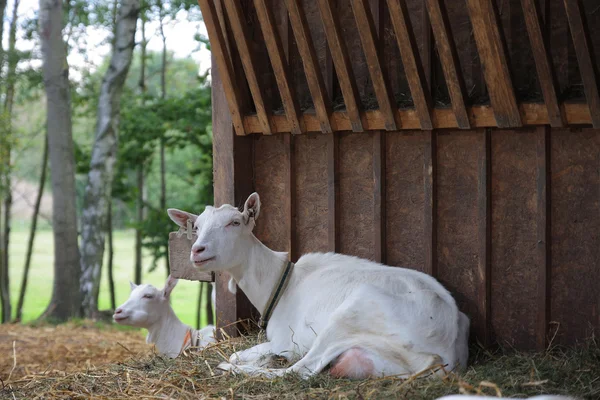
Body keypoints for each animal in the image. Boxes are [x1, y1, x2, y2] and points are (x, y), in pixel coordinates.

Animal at [166, 192, 472, 380]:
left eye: (235, 222)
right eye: (197, 227)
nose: (197, 250)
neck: (282, 283)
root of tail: (447, 348)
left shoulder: (290, 341)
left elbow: (241, 352)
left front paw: (241, 362)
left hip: (351, 314)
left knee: (299, 371)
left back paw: (235, 370)